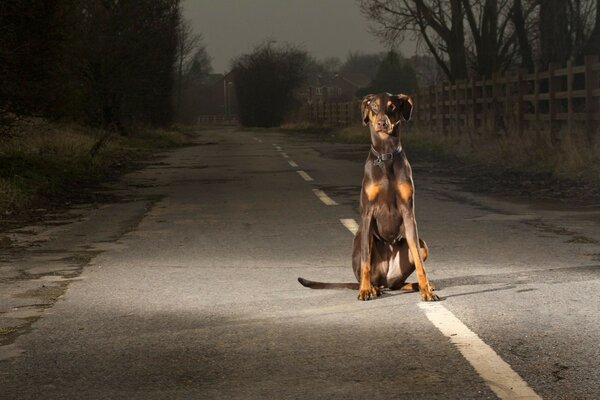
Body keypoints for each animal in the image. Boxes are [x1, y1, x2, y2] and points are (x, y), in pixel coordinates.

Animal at [298, 93, 438, 300]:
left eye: (392, 106)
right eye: (373, 107)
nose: (382, 123)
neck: (386, 155)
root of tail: (386, 278)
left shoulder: (408, 212)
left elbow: (420, 261)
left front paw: (425, 289)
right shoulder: (367, 214)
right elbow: (365, 259)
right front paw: (365, 290)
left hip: (422, 245)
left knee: (397, 283)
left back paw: (417, 285)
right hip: (361, 240)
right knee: (371, 273)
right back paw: (370, 287)